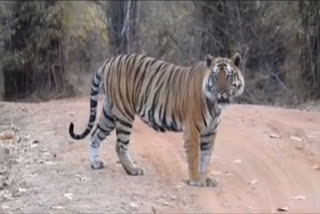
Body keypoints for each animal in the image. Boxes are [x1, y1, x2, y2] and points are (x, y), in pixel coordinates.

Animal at [69, 53, 245, 187]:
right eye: (215, 77)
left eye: (229, 76)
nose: (221, 92)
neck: (215, 106)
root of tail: (110, 60)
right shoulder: (193, 129)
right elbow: (195, 156)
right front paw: (196, 180)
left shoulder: (210, 131)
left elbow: (206, 157)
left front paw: (206, 178)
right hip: (124, 112)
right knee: (120, 146)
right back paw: (132, 170)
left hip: (109, 113)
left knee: (95, 135)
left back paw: (95, 164)